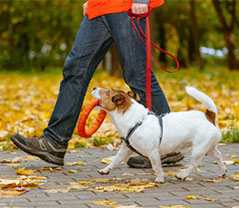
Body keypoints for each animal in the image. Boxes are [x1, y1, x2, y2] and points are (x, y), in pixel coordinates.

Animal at [92, 87, 227, 183]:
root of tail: (208, 115)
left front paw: (160, 178)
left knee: (194, 164)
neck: (134, 120)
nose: (93, 87)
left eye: (107, 92)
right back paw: (223, 171)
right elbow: (115, 161)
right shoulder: (126, 150)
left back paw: (182, 175)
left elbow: (156, 166)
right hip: (209, 147)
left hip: (199, 149)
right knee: (218, 156)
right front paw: (105, 170)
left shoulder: (153, 152)